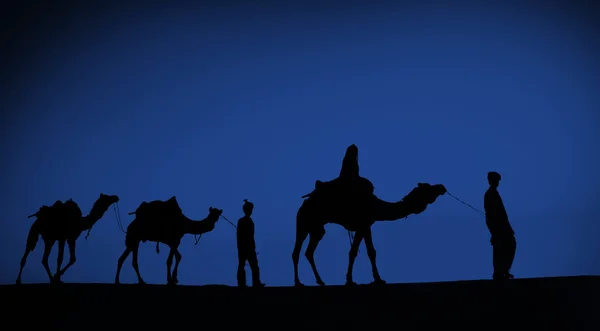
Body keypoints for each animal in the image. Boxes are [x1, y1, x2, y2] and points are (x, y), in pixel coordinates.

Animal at [290, 182, 446, 288]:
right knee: (296, 251)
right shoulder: (362, 225)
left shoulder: (366, 226)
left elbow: (370, 252)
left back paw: (320, 281)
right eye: (428, 187)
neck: (376, 206)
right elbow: (355, 252)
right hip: (304, 222)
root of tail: (305, 202)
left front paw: (377, 279)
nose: (441, 187)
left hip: (317, 228)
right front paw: (350, 281)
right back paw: (298, 283)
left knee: (309, 251)